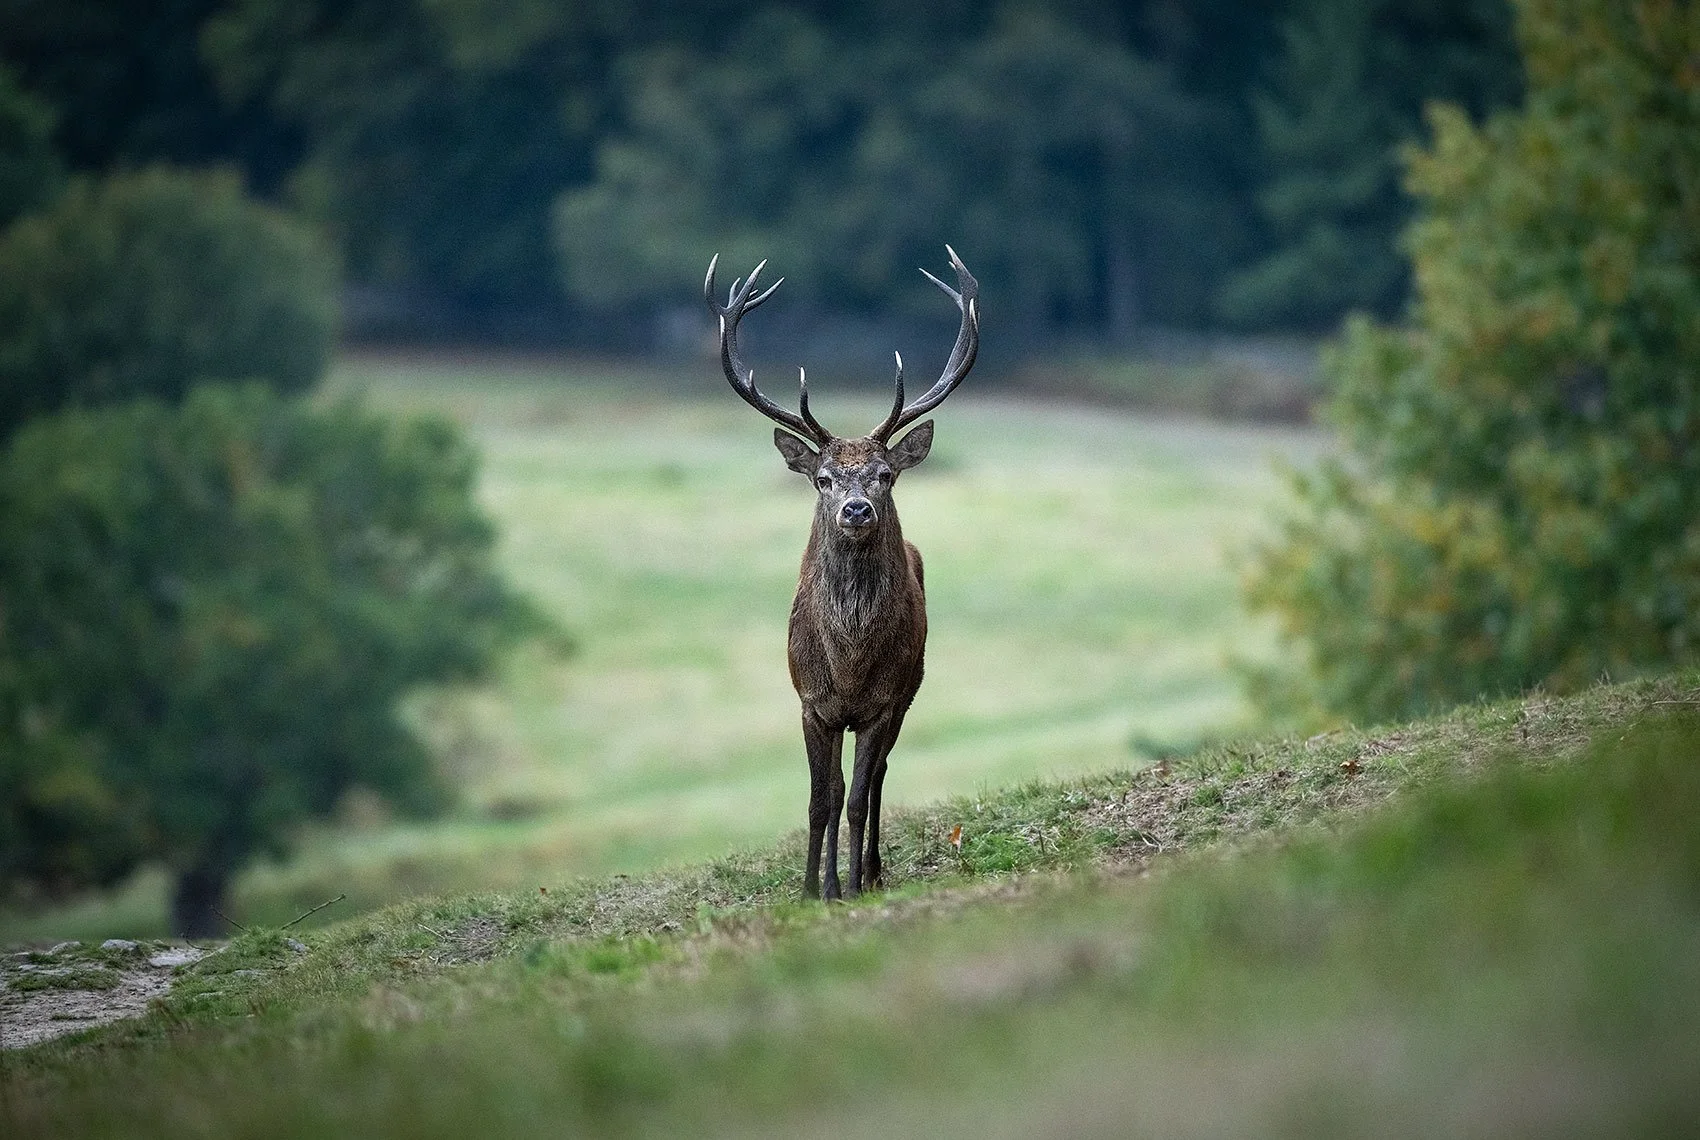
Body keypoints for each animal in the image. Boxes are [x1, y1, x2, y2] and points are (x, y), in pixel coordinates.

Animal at [705, 246, 980, 901]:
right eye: (824, 478)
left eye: (885, 474)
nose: (857, 510)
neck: (850, 664)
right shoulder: (812, 703)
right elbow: (819, 802)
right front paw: (812, 890)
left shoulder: (882, 705)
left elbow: (855, 798)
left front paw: (852, 886)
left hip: (910, 690)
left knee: (876, 780)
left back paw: (871, 872)